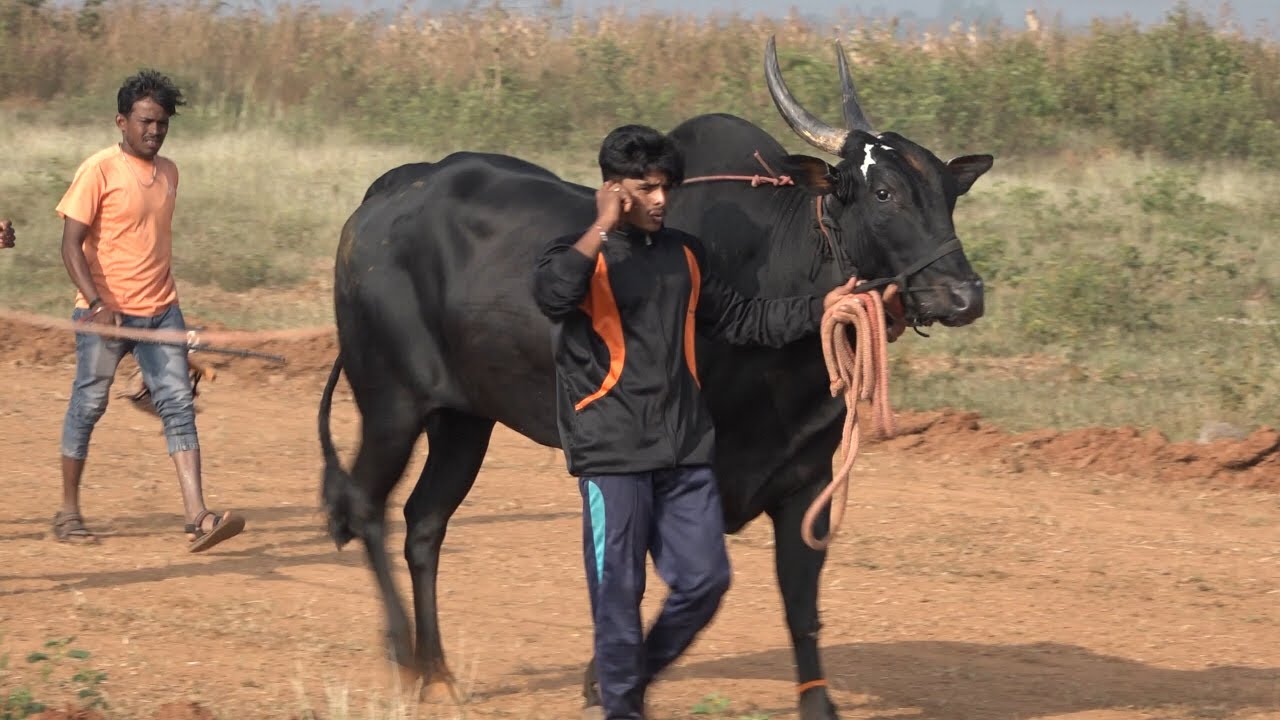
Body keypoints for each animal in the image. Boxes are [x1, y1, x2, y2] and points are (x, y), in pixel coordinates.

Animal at [317, 36, 993, 720]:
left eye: (947, 192)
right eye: (883, 193)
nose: (963, 295)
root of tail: (389, 193)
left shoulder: (805, 485)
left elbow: (798, 610)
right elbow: (646, 586)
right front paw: (604, 681)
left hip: (464, 421)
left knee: (425, 523)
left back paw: (437, 672)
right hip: (391, 404)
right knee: (366, 506)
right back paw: (405, 658)